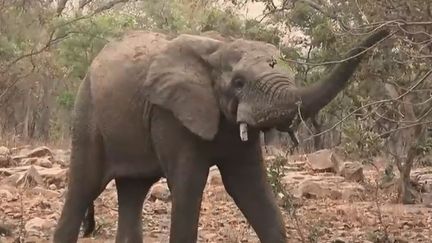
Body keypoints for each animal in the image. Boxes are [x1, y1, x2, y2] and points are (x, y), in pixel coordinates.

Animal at [52, 29, 390, 243]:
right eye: (238, 83)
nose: (388, 32)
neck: (217, 47)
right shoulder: (171, 115)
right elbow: (188, 187)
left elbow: (250, 187)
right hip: (87, 112)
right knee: (84, 186)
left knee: (133, 189)